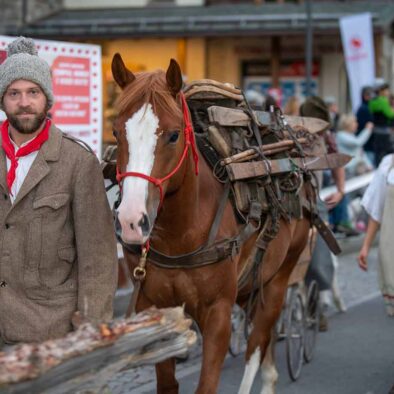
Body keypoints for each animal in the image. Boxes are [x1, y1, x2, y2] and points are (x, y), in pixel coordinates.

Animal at [110, 53, 310, 392]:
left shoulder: (218, 314)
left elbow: (208, 384)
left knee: (257, 345)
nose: (131, 220)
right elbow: (167, 384)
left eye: (173, 135)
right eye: (116, 132)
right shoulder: (154, 310)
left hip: (279, 277)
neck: (180, 233)